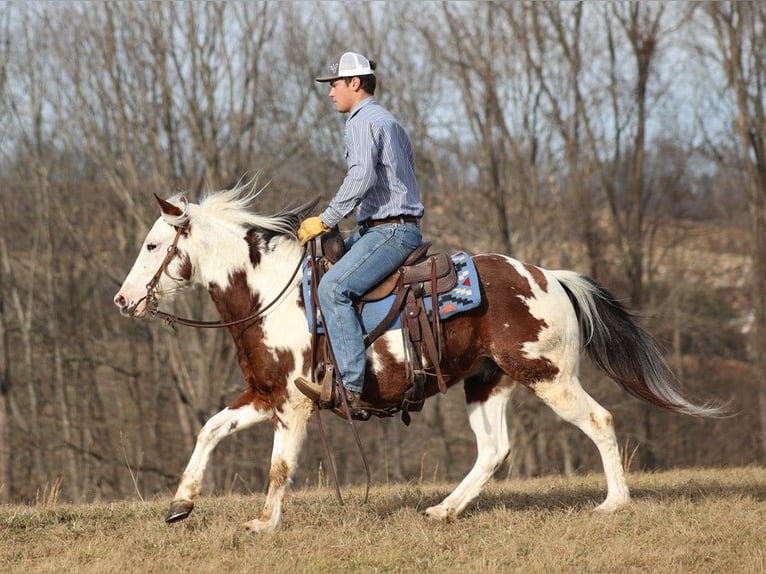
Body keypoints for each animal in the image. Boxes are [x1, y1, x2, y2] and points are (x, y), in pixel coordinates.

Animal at [112, 181, 728, 536]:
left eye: (151, 245)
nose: (122, 300)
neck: (271, 294)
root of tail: (551, 277)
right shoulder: (265, 395)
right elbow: (209, 429)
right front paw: (180, 504)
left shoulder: (293, 404)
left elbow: (279, 466)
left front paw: (264, 524)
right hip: (487, 383)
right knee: (494, 449)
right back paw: (443, 511)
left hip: (547, 375)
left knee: (599, 420)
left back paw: (614, 504)